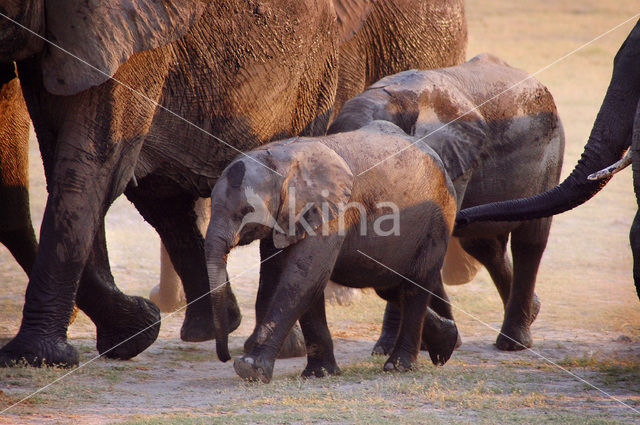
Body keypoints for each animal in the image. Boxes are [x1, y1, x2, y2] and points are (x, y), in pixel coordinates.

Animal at [205, 118, 460, 380]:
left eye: (246, 211)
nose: (225, 357)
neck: (280, 159)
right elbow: (295, 279)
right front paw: (319, 374)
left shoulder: (332, 213)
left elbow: (304, 278)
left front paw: (250, 369)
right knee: (389, 287)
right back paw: (447, 341)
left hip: (439, 216)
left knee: (415, 286)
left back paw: (398, 366)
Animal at [330, 53, 564, 350]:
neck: (394, 100)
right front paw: (438, 342)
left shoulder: (453, 157)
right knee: (483, 245)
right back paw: (533, 311)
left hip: (551, 153)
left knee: (529, 241)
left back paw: (513, 343)